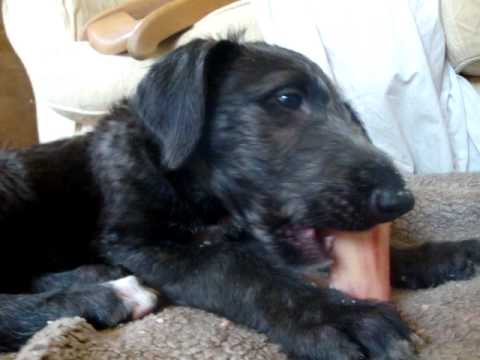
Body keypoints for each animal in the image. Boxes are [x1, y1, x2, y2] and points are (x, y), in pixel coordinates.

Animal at [0, 38, 480, 358]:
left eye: (350, 116)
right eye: (287, 98)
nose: (400, 200)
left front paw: (442, 254)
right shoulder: (142, 243)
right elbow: (235, 268)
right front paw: (338, 317)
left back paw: (92, 276)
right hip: (12, 181)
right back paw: (109, 295)